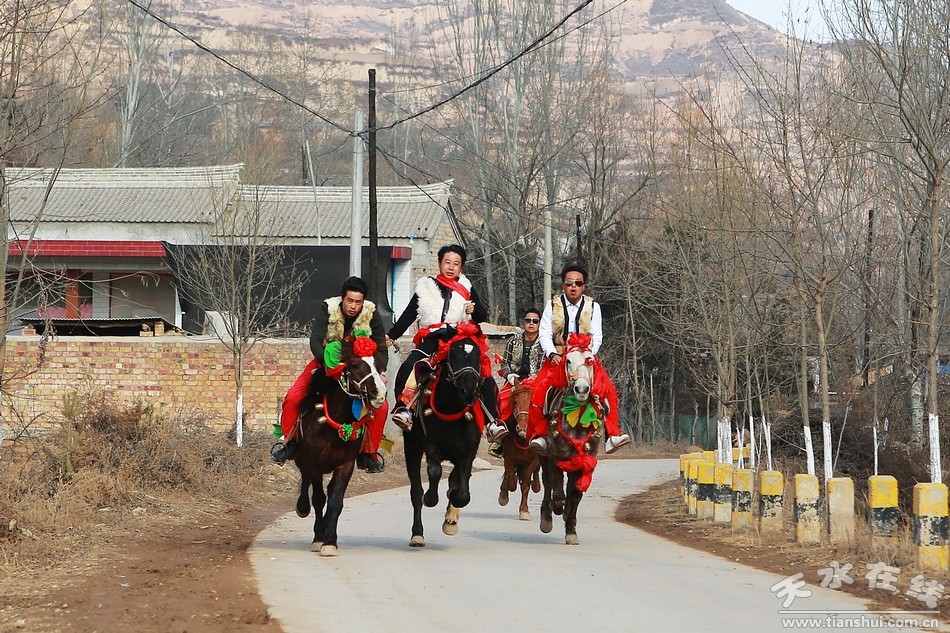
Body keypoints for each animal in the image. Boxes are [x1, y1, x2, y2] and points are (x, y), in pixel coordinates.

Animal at [291, 333, 386, 556]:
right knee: (306, 484)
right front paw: (319, 538)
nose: (379, 393)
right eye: (355, 364)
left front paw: (329, 541)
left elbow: (335, 501)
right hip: (302, 460)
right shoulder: (314, 464)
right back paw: (302, 507)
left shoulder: (345, 464)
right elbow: (319, 498)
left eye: (379, 364)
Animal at [403, 321, 489, 547]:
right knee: (416, 491)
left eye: (477, 355)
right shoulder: (430, 444)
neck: (451, 408)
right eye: (453, 354)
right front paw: (432, 498)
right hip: (411, 447)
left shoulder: (469, 451)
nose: (469, 391)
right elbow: (434, 473)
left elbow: (462, 490)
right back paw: (417, 534)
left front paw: (452, 513)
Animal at [498, 377, 541, 520]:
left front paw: (524, 511)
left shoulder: (532, 461)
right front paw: (504, 495)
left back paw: (536, 485)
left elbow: (526, 485)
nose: (523, 429)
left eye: (533, 404)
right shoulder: (509, 458)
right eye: (515, 402)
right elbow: (511, 480)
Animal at [537, 333, 603, 545]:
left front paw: (571, 531)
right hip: (542, 454)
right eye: (568, 360)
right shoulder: (555, 456)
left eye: (590, 360)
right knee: (547, 483)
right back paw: (546, 518)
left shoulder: (585, 459)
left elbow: (574, 496)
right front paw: (558, 509)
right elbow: (557, 492)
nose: (581, 389)